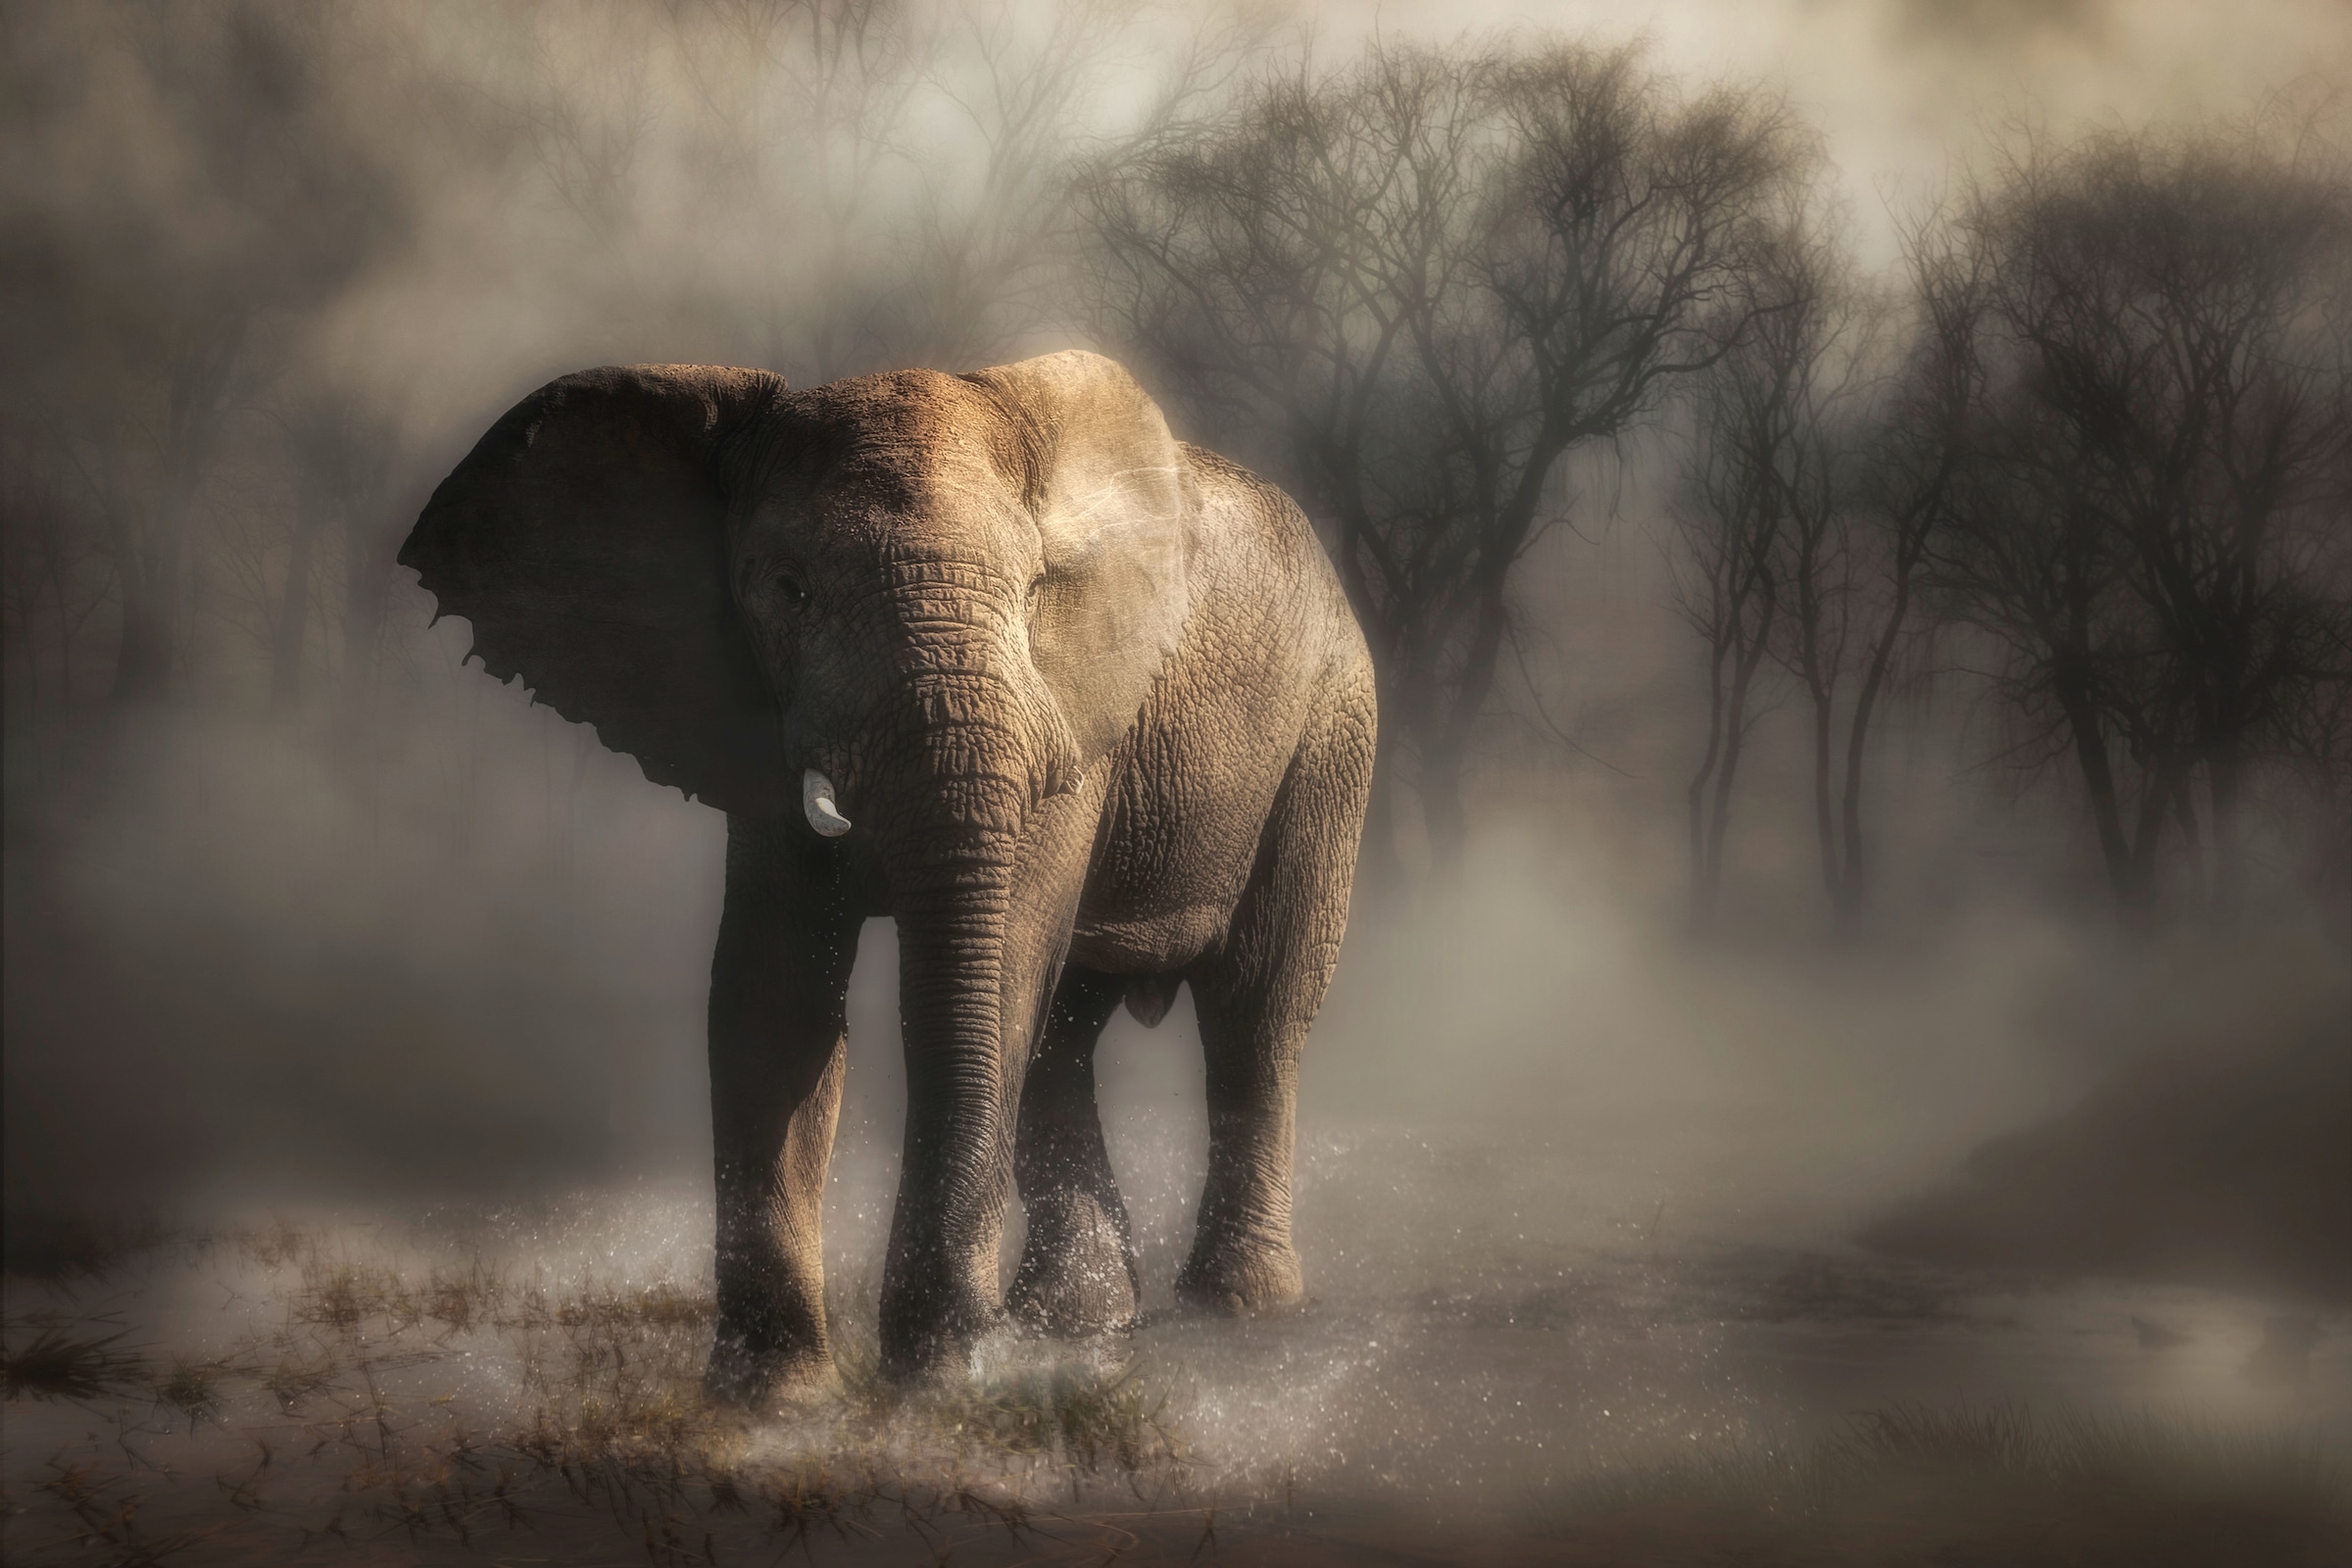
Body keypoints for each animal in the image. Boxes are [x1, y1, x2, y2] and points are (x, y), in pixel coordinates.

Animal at [399, 350, 1375, 1401]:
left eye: (1034, 589)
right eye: (789, 591)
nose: (966, 1343)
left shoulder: (1066, 715)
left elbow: (998, 970)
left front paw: (939, 1376)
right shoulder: (752, 721)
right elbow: (771, 995)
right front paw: (779, 1400)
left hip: (1330, 729)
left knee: (1255, 1007)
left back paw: (1234, 1307)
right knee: (1066, 1033)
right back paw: (1073, 1323)